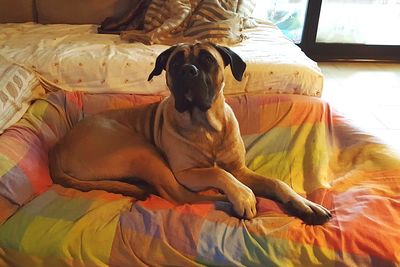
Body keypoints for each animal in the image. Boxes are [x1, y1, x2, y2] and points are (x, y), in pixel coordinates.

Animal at [49, 43, 332, 225]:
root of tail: (58, 147)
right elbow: (217, 173)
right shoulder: (187, 173)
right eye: (175, 63)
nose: (188, 70)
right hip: (141, 150)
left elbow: (276, 182)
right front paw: (241, 195)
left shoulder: (240, 170)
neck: (206, 127)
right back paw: (225, 198)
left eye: (208, 60)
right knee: (180, 195)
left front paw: (304, 204)